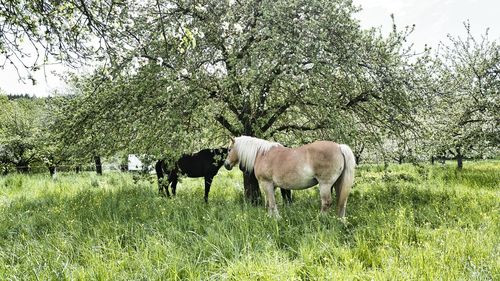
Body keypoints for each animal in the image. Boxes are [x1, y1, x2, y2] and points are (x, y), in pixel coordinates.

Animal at [154, 148, 292, 202]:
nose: (242, 167)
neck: (212, 157)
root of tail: (161, 159)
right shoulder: (208, 176)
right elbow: (207, 189)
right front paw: (206, 201)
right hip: (171, 176)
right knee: (165, 185)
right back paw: (168, 197)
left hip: (174, 177)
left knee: (169, 186)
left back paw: (170, 198)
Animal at [223, 136, 356, 217]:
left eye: (229, 149)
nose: (226, 164)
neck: (262, 153)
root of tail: (339, 147)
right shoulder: (272, 186)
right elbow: (269, 202)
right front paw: (269, 216)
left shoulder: (266, 183)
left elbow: (272, 202)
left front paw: (276, 218)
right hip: (338, 184)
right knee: (342, 202)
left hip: (325, 185)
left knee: (326, 202)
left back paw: (321, 219)